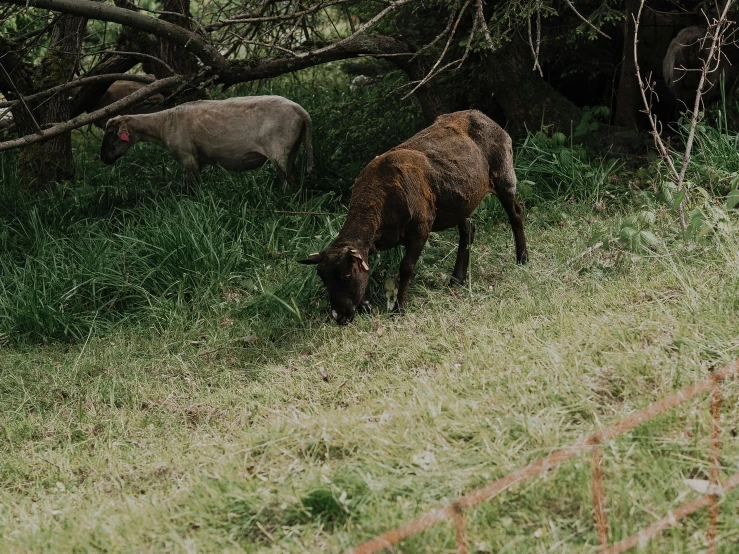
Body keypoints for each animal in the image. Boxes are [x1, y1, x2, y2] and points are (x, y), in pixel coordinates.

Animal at [300, 109, 528, 324]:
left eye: (347, 274)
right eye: (324, 279)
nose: (340, 318)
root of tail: (480, 114)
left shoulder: (421, 228)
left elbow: (406, 267)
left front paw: (399, 309)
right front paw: (367, 305)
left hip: (504, 175)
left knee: (515, 215)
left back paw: (522, 259)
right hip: (458, 200)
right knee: (468, 230)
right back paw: (457, 279)